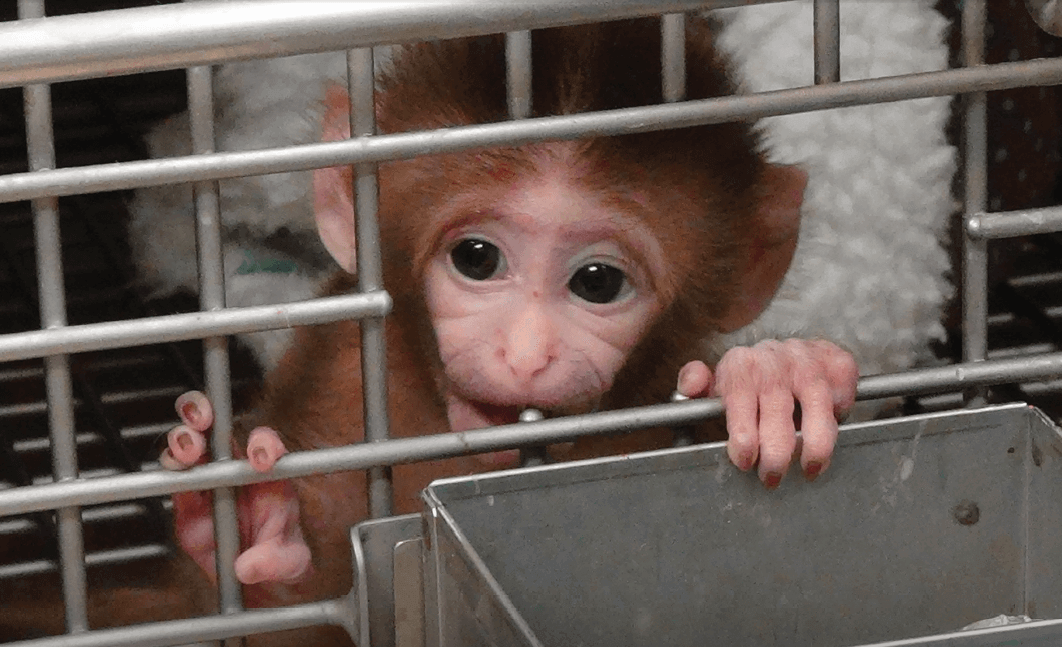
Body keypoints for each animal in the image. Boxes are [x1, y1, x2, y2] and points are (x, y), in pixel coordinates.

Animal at [0, 17, 857, 646]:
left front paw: (775, 379)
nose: (526, 354)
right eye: (476, 258)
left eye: (598, 282)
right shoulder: (340, 381)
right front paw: (252, 544)